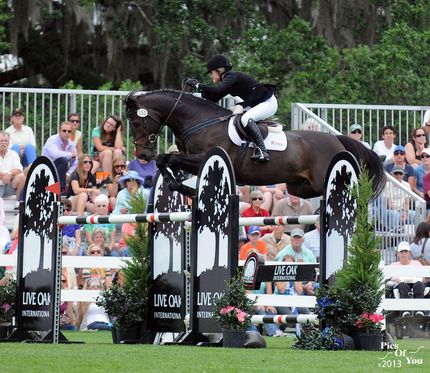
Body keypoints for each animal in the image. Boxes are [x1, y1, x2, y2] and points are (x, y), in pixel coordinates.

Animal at [124, 89, 382, 199]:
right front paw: (178, 184)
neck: (199, 121)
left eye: (136, 121)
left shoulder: (201, 159)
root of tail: (336, 139)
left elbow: (173, 158)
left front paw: (179, 184)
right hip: (297, 186)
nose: (143, 154)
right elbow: (165, 159)